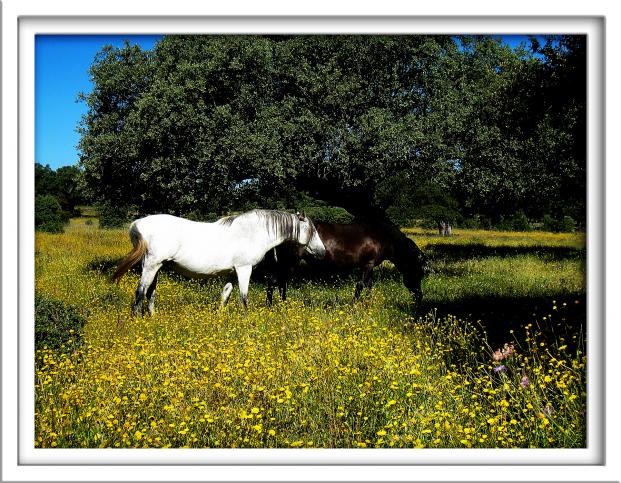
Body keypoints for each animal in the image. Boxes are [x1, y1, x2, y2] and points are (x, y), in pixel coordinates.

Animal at [112, 210, 326, 315]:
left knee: (150, 293)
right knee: (140, 292)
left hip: (157, 267)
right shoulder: (244, 270)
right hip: (151, 265)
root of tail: (138, 223)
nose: (323, 251)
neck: (252, 232)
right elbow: (244, 298)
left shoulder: (231, 273)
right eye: (313, 230)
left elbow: (225, 297)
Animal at [263, 219, 428, 307]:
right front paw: (353, 305)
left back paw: (284, 304)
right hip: (289, 262)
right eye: (418, 272)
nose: (419, 297)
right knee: (275, 281)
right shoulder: (367, 265)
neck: (380, 236)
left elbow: (369, 285)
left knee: (281, 282)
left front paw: (369, 302)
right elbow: (360, 285)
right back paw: (272, 306)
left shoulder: (369, 266)